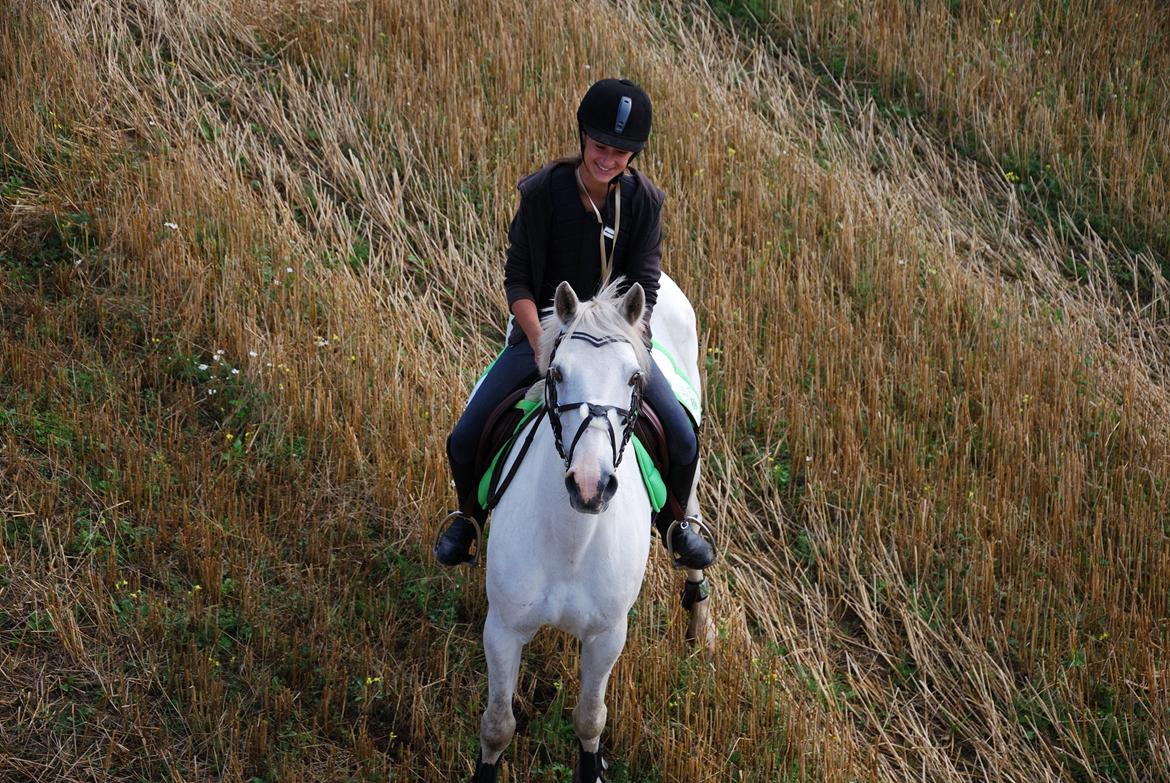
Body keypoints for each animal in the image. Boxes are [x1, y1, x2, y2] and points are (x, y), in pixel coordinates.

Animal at [469, 275, 714, 782]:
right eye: (557, 374)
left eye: (634, 378)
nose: (590, 484)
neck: (571, 541)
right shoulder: (503, 628)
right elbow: (497, 725)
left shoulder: (607, 635)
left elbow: (590, 718)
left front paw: (592, 766)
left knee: (691, 522)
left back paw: (700, 623)